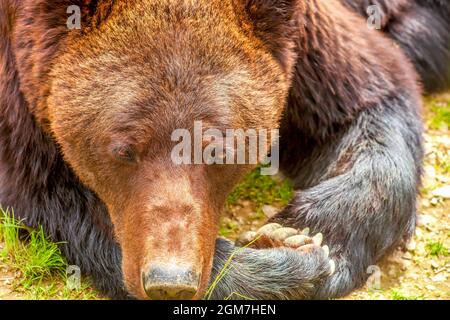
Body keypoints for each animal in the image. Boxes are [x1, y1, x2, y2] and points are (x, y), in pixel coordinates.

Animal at [0, 0, 428, 300]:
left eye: (216, 151)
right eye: (123, 150)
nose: (169, 280)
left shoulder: (306, 47)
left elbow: (367, 103)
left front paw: (306, 236)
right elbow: (55, 195)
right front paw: (285, 261)